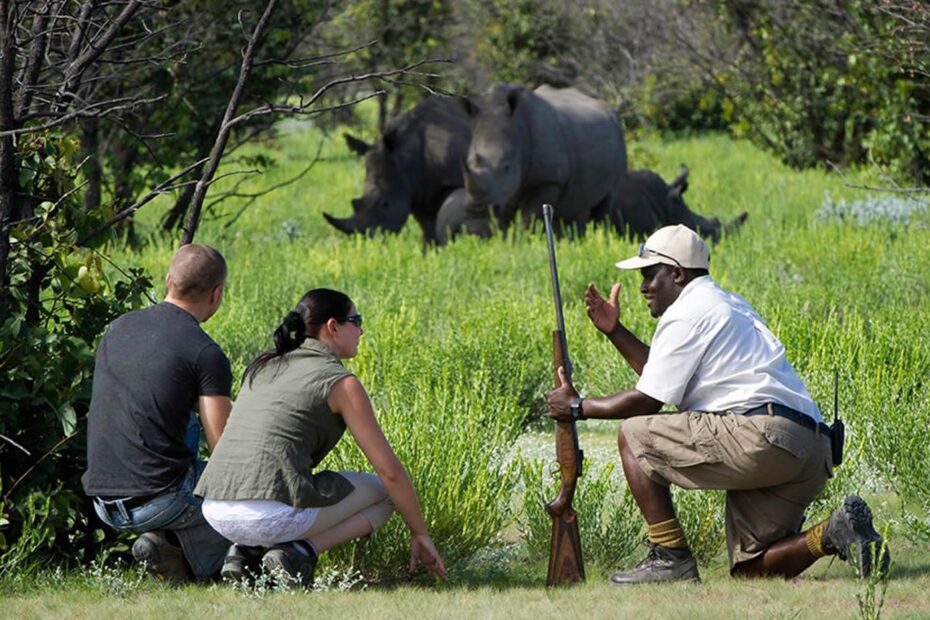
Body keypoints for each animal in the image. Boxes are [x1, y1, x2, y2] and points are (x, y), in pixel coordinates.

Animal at [459, 83, 627, 237]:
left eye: (506, 167)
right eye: (468, 163)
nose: (476, 209)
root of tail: (611, 111)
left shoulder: (549, 181)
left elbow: (529, 218)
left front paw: (524, 241)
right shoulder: (505, 192)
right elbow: (504, 221)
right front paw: (505, 241)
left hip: (618, 139)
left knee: (605, 202)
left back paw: (599, 237)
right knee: (573, 204)